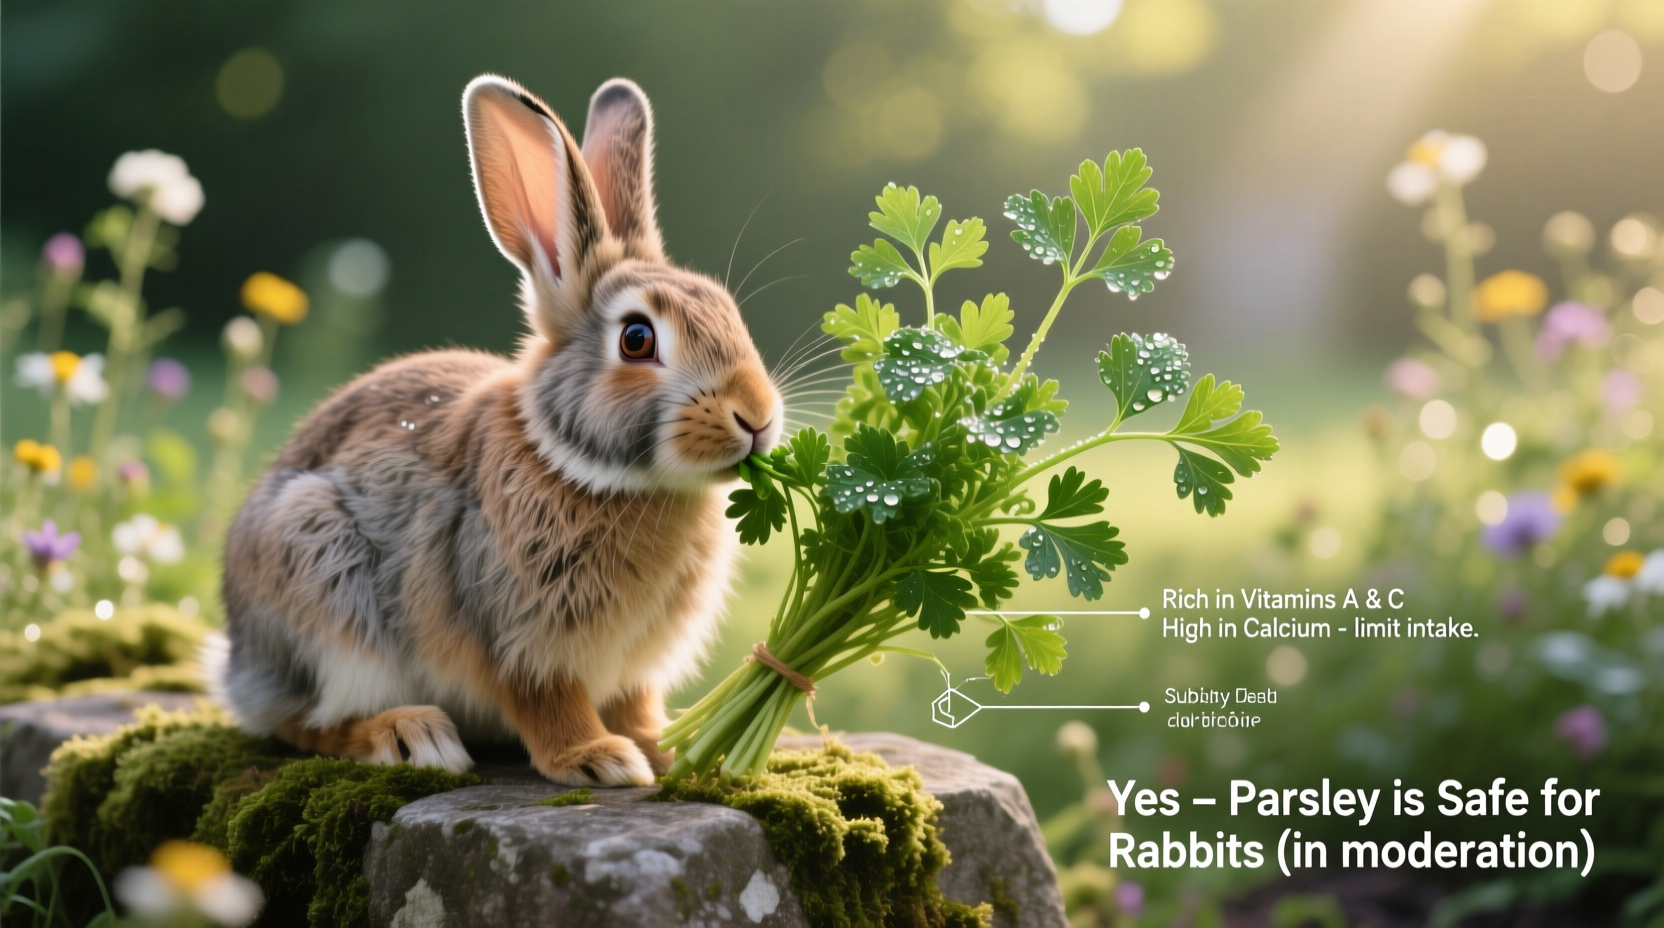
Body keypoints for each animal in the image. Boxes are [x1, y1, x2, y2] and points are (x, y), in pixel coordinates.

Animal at [212, 74, 783, 787]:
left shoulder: (633, 668)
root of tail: (238, 668)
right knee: (307, 724)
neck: (587, 468)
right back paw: (411, 736)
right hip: (319, 583)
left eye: (728, 311)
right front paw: (599, 760)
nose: (757, 417)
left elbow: (635, 704)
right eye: (637, 338)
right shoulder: (517, 638)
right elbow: (546, 702)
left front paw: (669, 749)